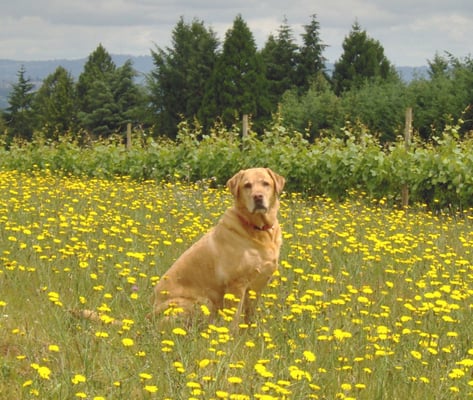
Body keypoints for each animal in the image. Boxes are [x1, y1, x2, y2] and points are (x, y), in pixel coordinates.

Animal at [151, 166, 284, 324]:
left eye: (265, 183)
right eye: (247, 185)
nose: (258, 197)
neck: (259, 229)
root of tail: (150, 313)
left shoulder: (257, 286)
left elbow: (249, 317)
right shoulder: (236, 285)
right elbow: (233, 320)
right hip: (203, 302)